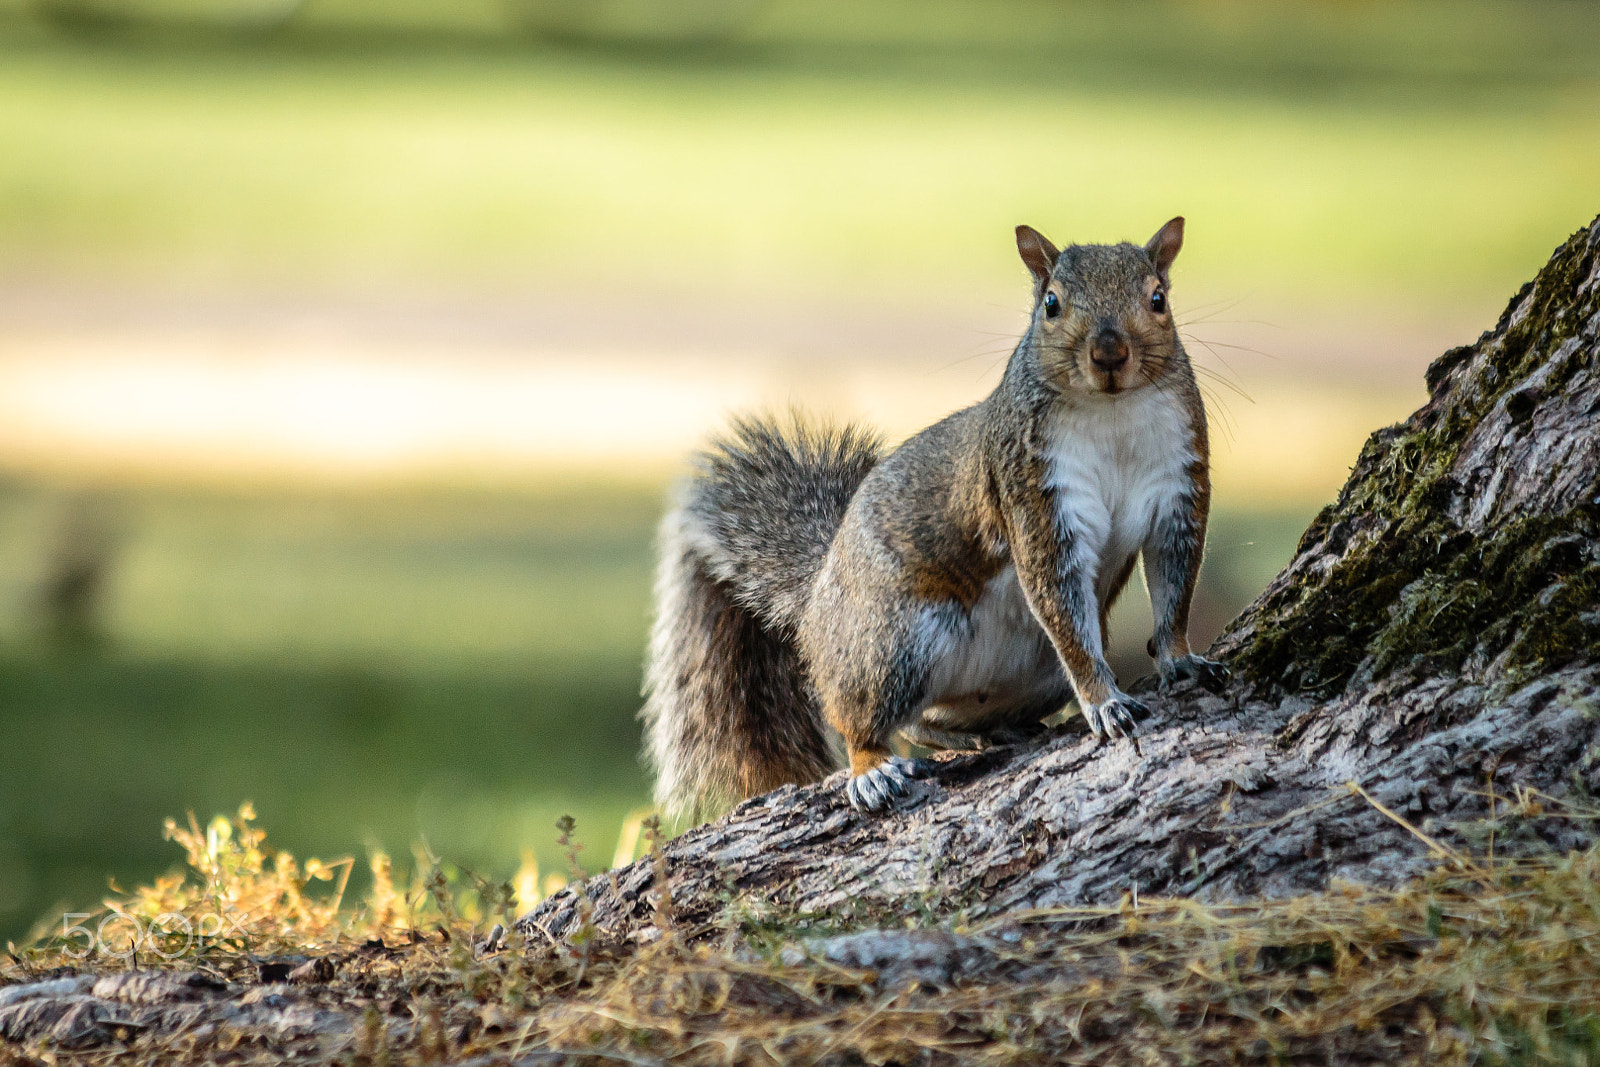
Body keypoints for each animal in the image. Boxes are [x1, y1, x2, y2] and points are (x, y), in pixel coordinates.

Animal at [642, 217, 1229, 817]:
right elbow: (1062, 609)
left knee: (928, 720)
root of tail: (817, 607)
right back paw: (874, 770)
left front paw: (1180, 659)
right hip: (894, 645)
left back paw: (993, 730)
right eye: (1051, 304)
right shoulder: (1032, 497)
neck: (1112, 415)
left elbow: (1174, 585)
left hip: (1027, 676)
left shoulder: (1179, 488)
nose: (1109, 352)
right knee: (862, 718)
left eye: (1158, 299)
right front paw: (1105, 701)